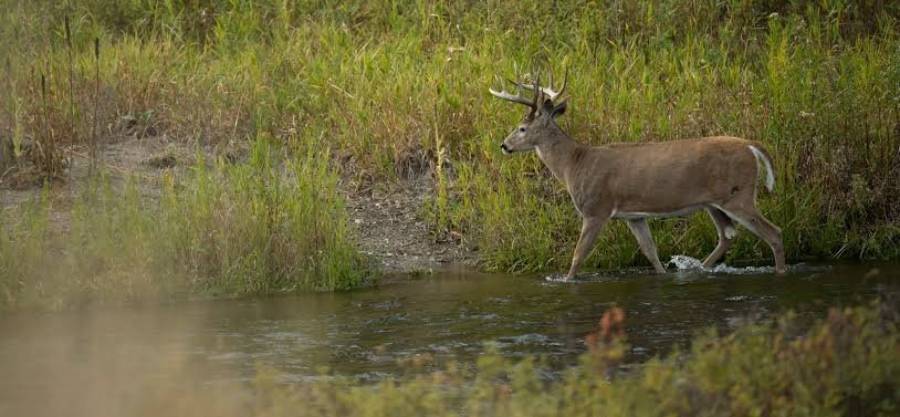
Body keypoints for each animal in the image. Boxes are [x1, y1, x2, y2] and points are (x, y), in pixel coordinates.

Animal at [489, 71, 785, 280]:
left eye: (522, 128)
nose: (504, 145)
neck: (574, 164)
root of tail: (751, 146)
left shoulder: (596, 208)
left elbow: (578, 255)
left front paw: (565, 280)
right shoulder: (634, 216)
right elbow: (650, 253)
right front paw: (663, 274)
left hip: (738, 194)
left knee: (774, 232)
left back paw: (778, 272)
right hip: (714, 202)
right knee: (727, 235)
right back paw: (699, 268)